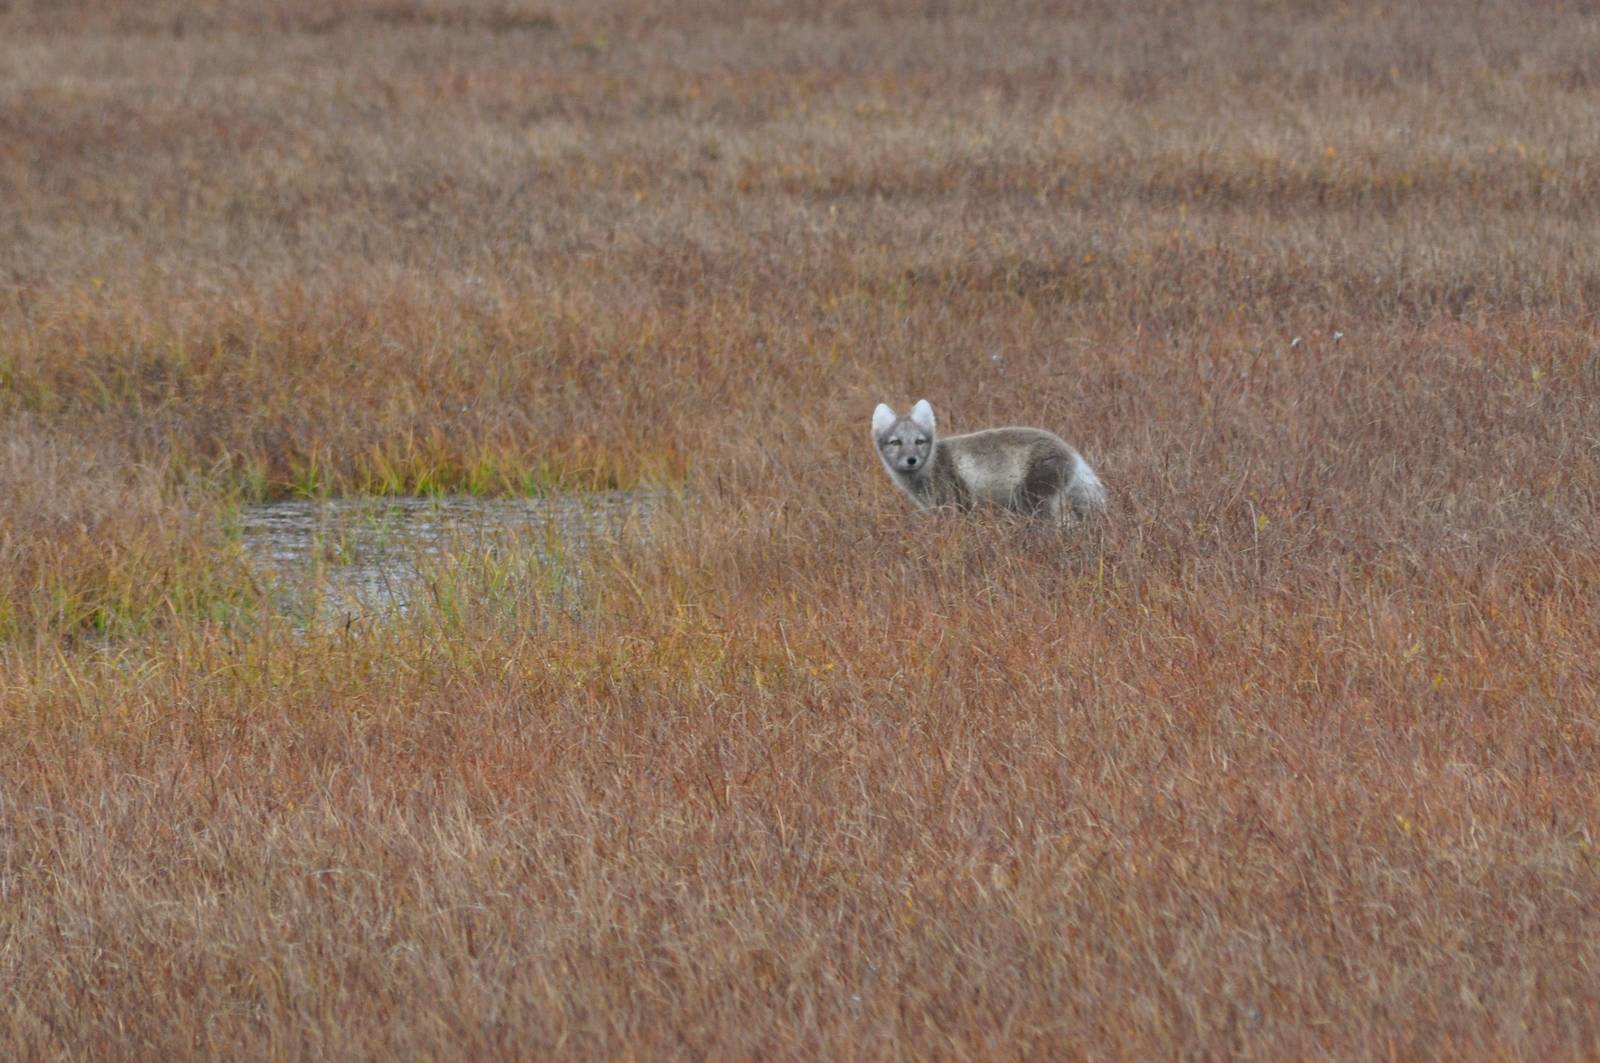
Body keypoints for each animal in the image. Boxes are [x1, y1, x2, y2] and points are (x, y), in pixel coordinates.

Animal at [871, 399, 1106, 522]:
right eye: (896, 442)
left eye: (919, 441)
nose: (911, 459)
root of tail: (1072, 452)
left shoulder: (954, 501)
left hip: (1035, 499)